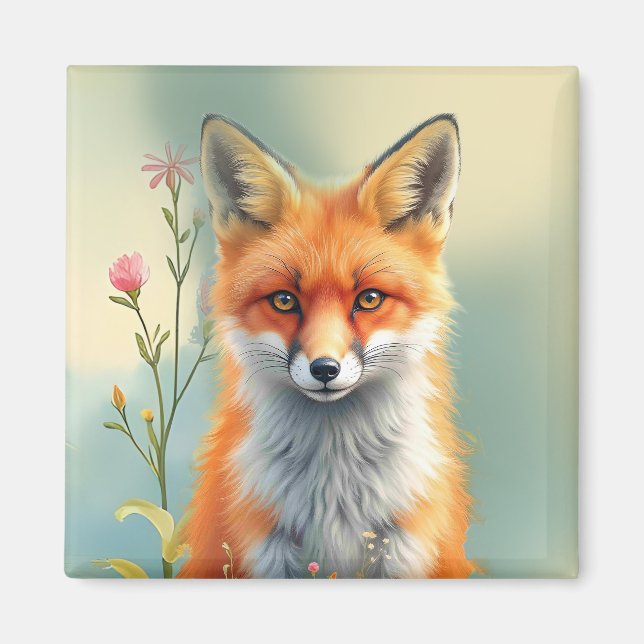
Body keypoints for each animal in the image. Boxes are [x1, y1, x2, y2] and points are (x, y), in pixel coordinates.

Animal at [178, 113, 476, 579]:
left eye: (369, 299)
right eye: (284, 300)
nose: (324, 370)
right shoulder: (263, 549)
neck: (334, 487)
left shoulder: (405, 548)